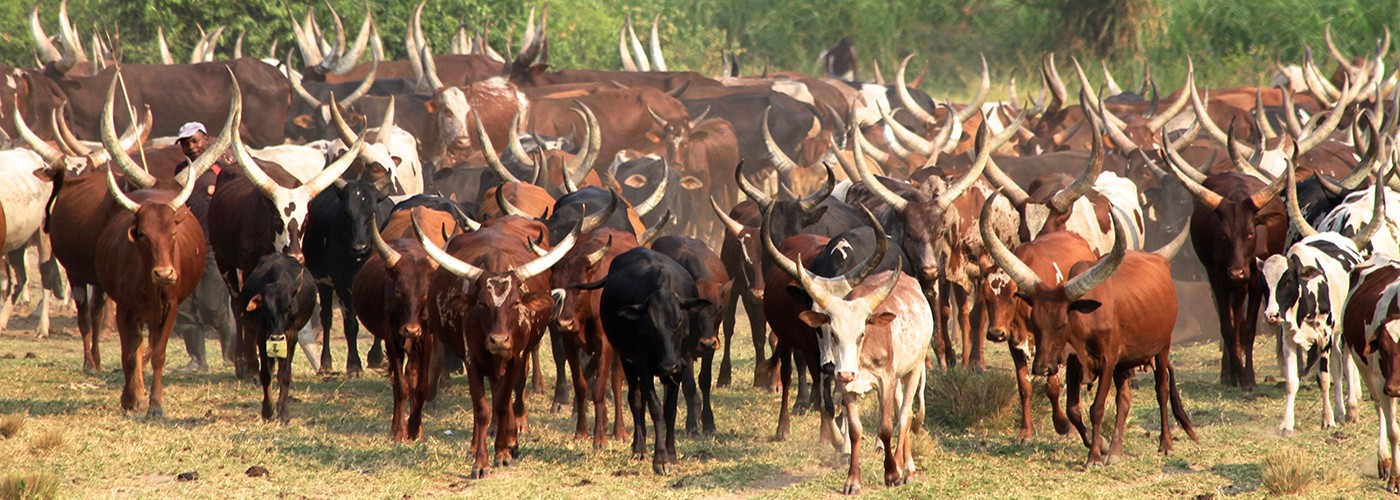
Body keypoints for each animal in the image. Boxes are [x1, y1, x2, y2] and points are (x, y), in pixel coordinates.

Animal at [238, 253, 320, 420]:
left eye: (288, 307)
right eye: (265, 307)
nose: (277, 338)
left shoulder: (291, 336)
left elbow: (285, 374)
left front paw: (283, 411)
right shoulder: (262, 337)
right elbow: (266, 374)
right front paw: (267, 410)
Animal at [411, 212, 576, 476]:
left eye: (516, 303)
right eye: (482, 303)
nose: (498, 340)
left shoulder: (515, 359)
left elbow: (501, 404)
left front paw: (503, 453)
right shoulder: (472, 362)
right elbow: (482, 410)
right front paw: (480, 462)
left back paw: (510, 443)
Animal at [585, 247, 711, 473]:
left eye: (679, 320)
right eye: (651, 324)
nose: (668, 365)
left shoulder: (680, 368)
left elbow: (669, 410)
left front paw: (672, 457)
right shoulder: (643, 365)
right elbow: (655, 408)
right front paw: (660, 459)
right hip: (627, 359)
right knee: (636, 399)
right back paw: (639, 448)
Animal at [652, 233, 739, 431]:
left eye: (719, 308)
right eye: (694, 310)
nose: (706, 342)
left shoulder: (712, 344)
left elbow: (704, 380)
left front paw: (708, 422)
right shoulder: (683, 351)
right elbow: (689, 385)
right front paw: (692, 425)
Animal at [980, 196, 1198, 464]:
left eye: (1063, 323)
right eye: (1036, 321)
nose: (1042, 368)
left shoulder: (1107, 360)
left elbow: (1097, 408)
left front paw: (1093, 454)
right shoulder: (1071, 362)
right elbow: (1071, 408)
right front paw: (1100, 445)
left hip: (1162, 347)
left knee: (1162, 389)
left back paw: (1165, 443)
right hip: (1125, 363)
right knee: (1124, 399)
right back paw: (1115, 451)